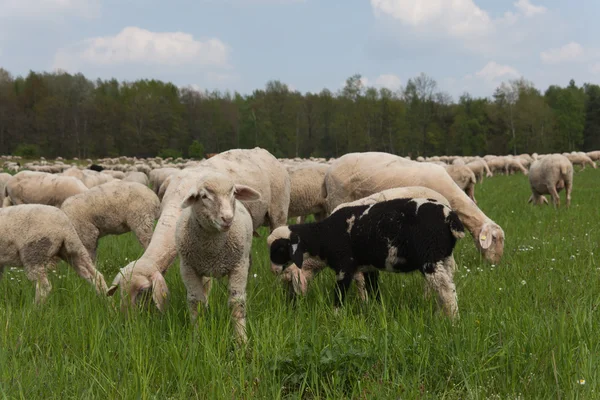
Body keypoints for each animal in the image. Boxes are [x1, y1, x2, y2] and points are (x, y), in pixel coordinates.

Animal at [175, 170, 262, 342]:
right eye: (204, 196)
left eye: (234, 193)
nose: (227, 218)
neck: (212, 249)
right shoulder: (188, 268)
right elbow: (196, 302)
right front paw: (197, 337)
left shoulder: (238, 266)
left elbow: (237, 303)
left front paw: (241, 339)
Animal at [270, 198, 466, 318]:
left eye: (279, 249)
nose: (274, 270)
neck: (324, 236)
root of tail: (449, 216)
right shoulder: (368, 267)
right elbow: (373, 290)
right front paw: (376, 311)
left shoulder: (344, 265)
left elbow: (339, 293)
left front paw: (336, 316)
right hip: (444, 257)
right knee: (446, 286)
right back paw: (441, 315)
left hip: (430, 257)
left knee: (445, 289)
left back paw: (452, 321)